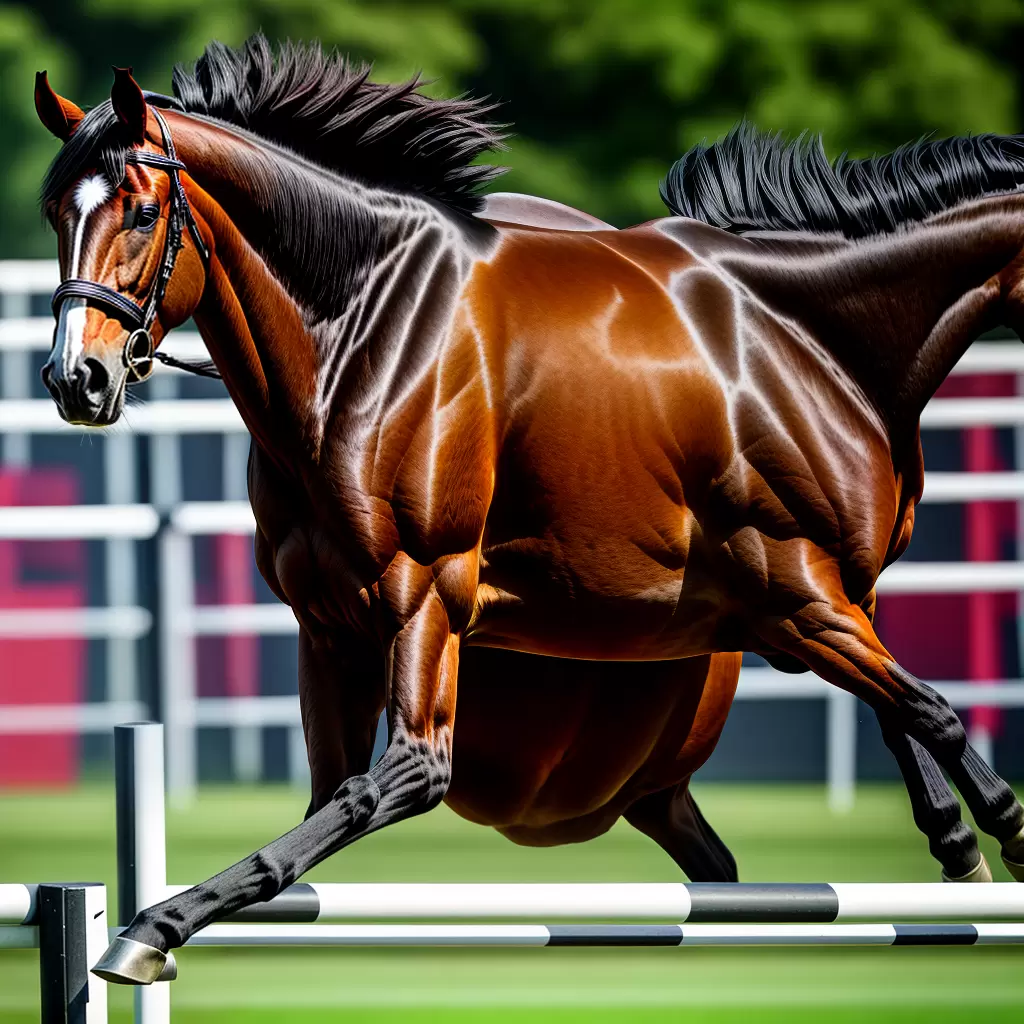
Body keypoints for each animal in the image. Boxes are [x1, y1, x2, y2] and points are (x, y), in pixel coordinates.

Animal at [33, 36, 1024, 984]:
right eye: (55, 213)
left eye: (140, 209)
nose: (77, 379)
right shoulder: (333, 626)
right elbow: (335, 800)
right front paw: (154, 928)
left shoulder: (436, 598)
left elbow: (927, 710)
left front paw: (991, 840)